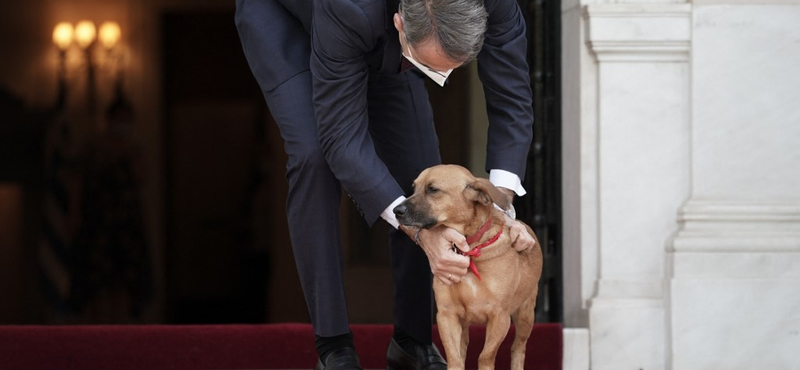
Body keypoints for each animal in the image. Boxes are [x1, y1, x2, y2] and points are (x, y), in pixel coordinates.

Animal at [394, 165, 544, 370]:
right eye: (414, 188)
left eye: (432, 189)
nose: (395, 210)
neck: (467, 249)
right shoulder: (447, 315)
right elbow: (455, 359)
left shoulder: (499, 317)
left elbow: (485, 357)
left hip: (525, 315)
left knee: (518, 348)